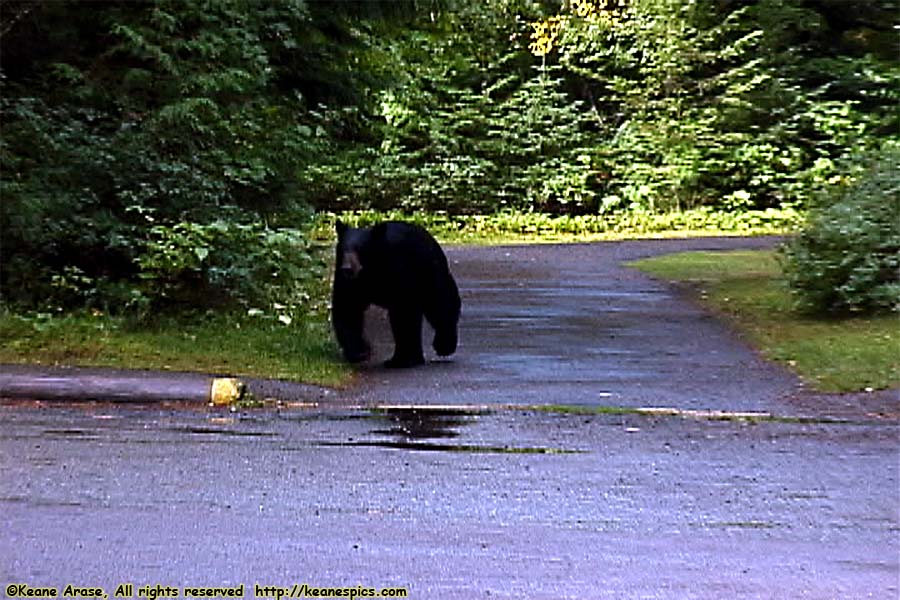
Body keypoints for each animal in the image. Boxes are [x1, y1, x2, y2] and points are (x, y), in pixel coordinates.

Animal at [330, 220, 460, 368]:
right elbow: (347, 309)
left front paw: (405, 359)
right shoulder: (347, 282)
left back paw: (443, 345)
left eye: (360, 249)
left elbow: (404, 312)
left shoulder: (399, 271)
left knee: (440, 303)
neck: (370, 272)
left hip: (430, 271)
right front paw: (359, 352)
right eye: (343, 249)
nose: (347, 268)